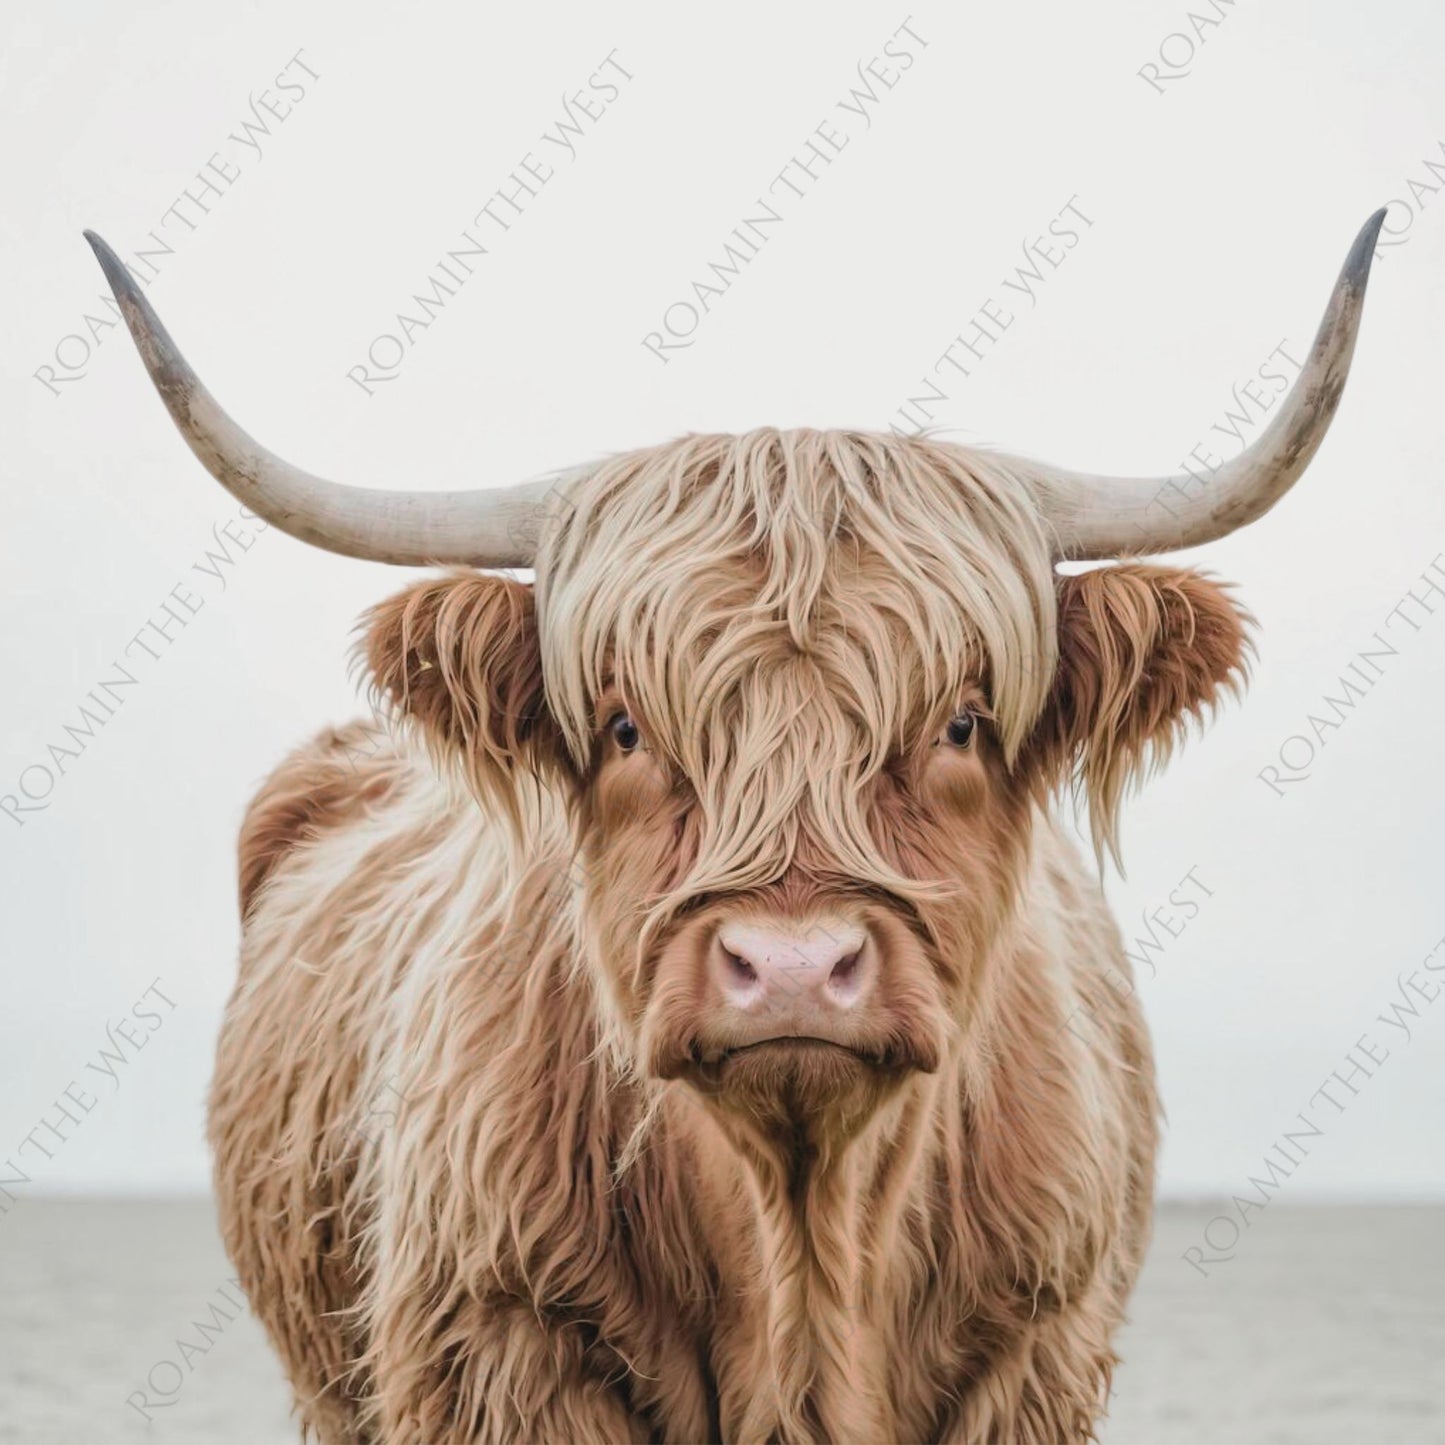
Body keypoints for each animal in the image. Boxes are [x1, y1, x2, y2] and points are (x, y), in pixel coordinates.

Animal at [88, 209, 1383, 1444]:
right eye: (621, 726)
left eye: (963, 721)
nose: (794, 969)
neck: (798, 1242)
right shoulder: (503, 1343)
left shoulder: (1031, 1349)